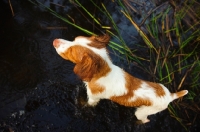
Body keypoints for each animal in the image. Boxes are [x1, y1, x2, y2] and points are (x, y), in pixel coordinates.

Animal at [52, 34, 188, 123]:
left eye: (71, 51)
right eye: (74, 39)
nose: (54, 41)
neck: (103, 72)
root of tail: (171, 95)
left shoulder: (93, 98)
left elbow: (87, 104)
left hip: (143, 112)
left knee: (145, 120)